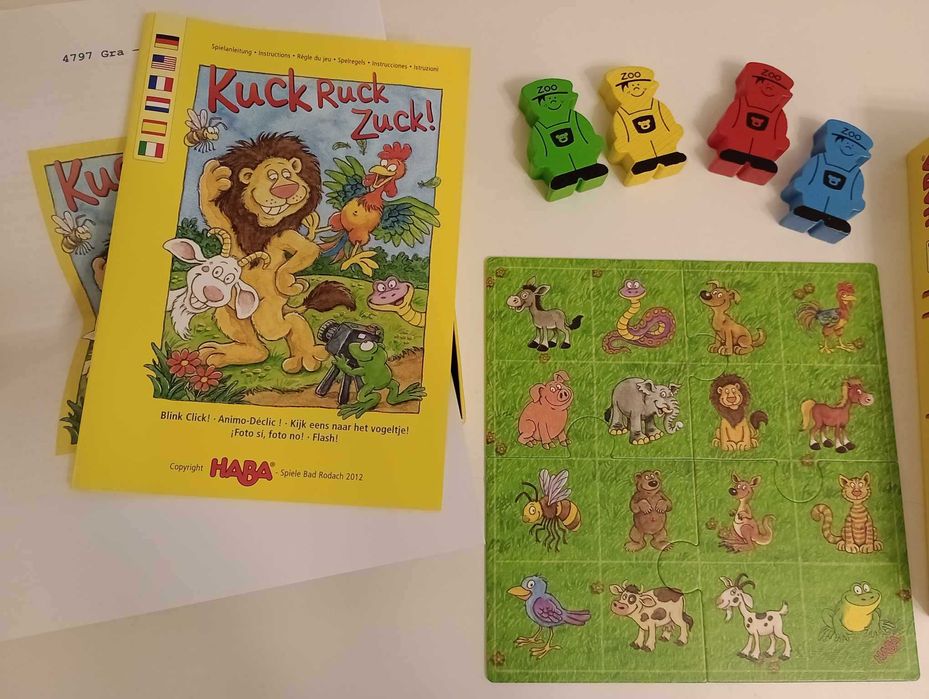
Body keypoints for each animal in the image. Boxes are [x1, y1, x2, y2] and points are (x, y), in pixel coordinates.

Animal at [197, 132, 353, 373]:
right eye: (272, 176)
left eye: (287, 174)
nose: (287, 188)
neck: (261, 227)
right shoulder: (229, 225)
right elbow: (213, 212)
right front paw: (214, 180)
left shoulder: (283, 235)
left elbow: (308, 250)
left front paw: (287, 282)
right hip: (230, 309)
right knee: (254, 340)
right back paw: (228, 354)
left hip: (268, 312)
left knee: (286, 323)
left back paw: (306, 357)